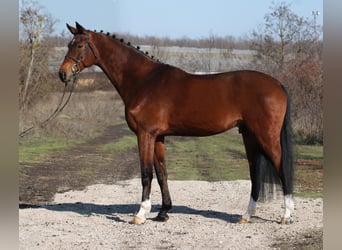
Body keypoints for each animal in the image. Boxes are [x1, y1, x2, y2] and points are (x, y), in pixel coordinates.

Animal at [58, 23, 294, 225]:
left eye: (79, 45)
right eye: (69, 44)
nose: (62, 73)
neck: (144, 81)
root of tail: (278, 84)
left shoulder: (145, 134)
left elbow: (146, 173)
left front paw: (141, 214)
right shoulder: (158, 137)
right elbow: (162, 173)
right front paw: (163, 212)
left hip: (266, 136)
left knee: (282, 168)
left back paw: (286, 216)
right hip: (249, 136)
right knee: (255, 174)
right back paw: (246, 216)